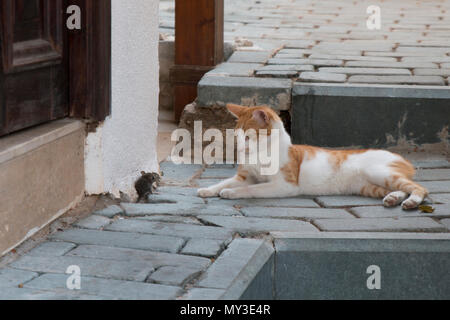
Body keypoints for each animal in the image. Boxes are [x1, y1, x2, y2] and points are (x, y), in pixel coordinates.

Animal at [198, 102, 428, 210]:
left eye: (248, 137)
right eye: (237, 136)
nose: (240, 149)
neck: (261, 154)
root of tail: (404, 159)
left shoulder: (285, 185)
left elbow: (252, 189)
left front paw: (231, 193)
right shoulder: (245, 176)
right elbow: (223, 182)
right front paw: (208, 189)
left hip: (379, 172)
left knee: (418, 188)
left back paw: (411, 202)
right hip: (369, 185)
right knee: (400, 189)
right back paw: (393, 198)